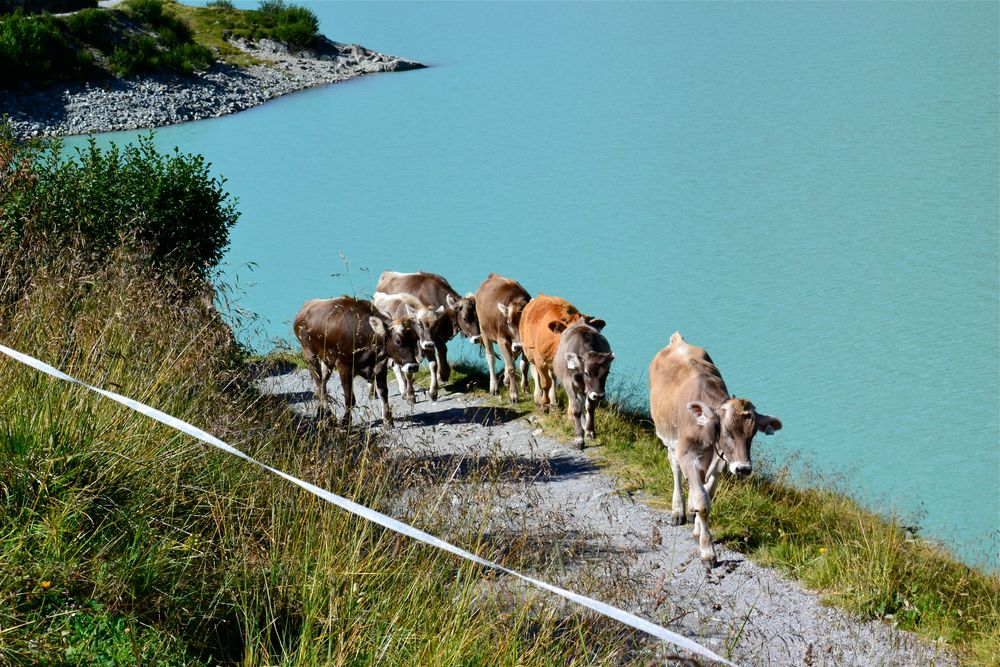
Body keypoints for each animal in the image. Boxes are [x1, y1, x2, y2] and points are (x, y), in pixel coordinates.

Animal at [294, 296, 424, 428]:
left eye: (415, 339)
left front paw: (388, 421)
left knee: (322, 384)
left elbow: (383, 393)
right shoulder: (343, 367)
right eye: (398, 341)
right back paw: (329, 416)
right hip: (310, 355)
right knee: (317, 385)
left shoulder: (380, 366)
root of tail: (305, 307)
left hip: (327, 360)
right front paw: (346, 423)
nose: (413, 367)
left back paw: (321, 413)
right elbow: (350, 398)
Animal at [476, 272, 532, 408]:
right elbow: (511, 366)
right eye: (509, 323)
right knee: (490, 356)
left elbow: (523, 365)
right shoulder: (502, 340)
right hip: (484, 330)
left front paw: (525, 389)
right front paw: (513, 395)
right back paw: (494, 387)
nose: (518, 346)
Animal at [552, 318, 612, 448]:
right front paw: (579, 438)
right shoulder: (568, 383)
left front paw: (589, 431)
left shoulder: (591, 390)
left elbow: (590, 407)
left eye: (606, 373)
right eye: (586, 373)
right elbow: (576, 408)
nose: (599, 395)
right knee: (579, 403)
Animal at [648, 332, 780, 568]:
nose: (744, 468)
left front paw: (698, 529)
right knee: (675, 469)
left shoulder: (720, 461)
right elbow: (702, 501)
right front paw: (707, 551)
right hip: (668, 437)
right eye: (726, 432)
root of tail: (678, 341)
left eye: (753, 434)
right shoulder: (686, 453)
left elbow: (707, 494)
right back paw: (678, 509)